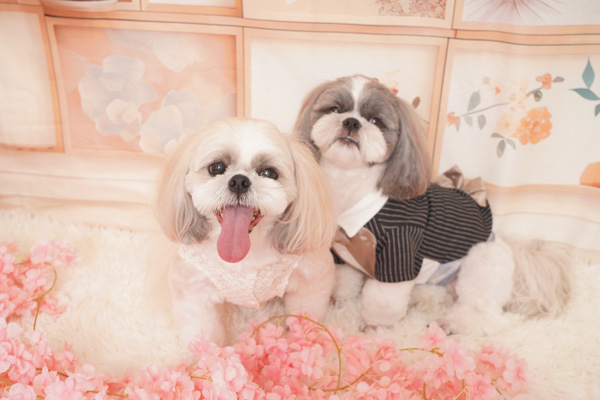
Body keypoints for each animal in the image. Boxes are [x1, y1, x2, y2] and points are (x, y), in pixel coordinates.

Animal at [153, 117, 337, 346]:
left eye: (269, 173)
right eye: (216, 167)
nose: (239, 181)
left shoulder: (310, 281)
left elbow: (305, 316)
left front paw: (299, 342)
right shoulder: (193, 292)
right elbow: (203, 331)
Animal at [293, 74, 573, 334]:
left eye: (376, 121)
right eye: (334, 110)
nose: (351, 122)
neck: (352, 188)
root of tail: (512, 250)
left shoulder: (400, 249)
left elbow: (383, 300)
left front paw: (375, 325)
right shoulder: (343, 251)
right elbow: (346, 279)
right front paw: (338, 299)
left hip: (481, 265)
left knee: (484, 315)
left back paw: (451, 323)